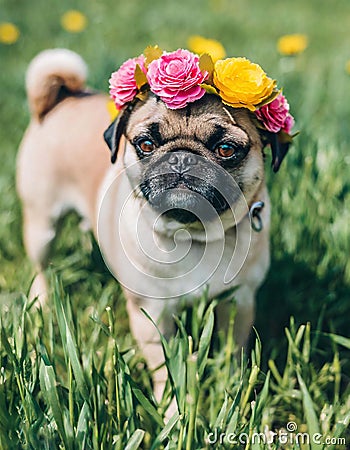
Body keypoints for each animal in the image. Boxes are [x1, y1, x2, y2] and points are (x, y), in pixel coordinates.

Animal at [17, 49, 292, 400]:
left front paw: (233, 387)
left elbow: (234, 350)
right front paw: (170, 403)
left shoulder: (238, 301)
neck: (193, 235)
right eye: (146, 144)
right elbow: (165, 367)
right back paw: (42, 300)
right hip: (43, 227)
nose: (182, 157)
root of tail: (64, 99)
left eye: (226, 149)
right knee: (41, 266)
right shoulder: (151, 314)